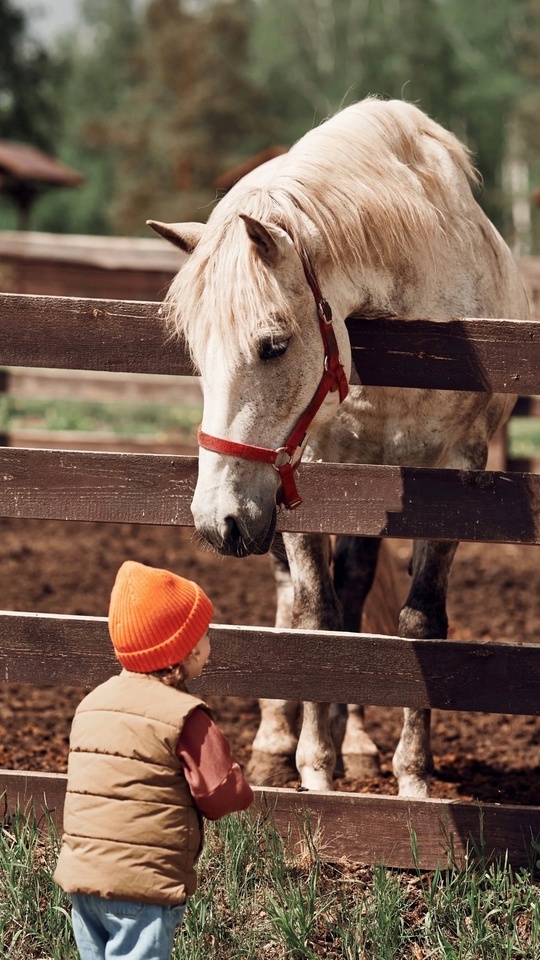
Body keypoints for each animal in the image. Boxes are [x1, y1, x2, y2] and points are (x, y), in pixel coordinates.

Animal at [150, 101, 528, 800]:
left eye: (273, 344)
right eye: (196, 354)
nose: (217, 521)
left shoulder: (455, 472)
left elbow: (418, 621)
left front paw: (412, 777)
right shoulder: (306, 472)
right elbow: (315, 621)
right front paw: (314, 769)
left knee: (354, 593)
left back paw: (355, 743)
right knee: (293, 598)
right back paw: (278, 740)